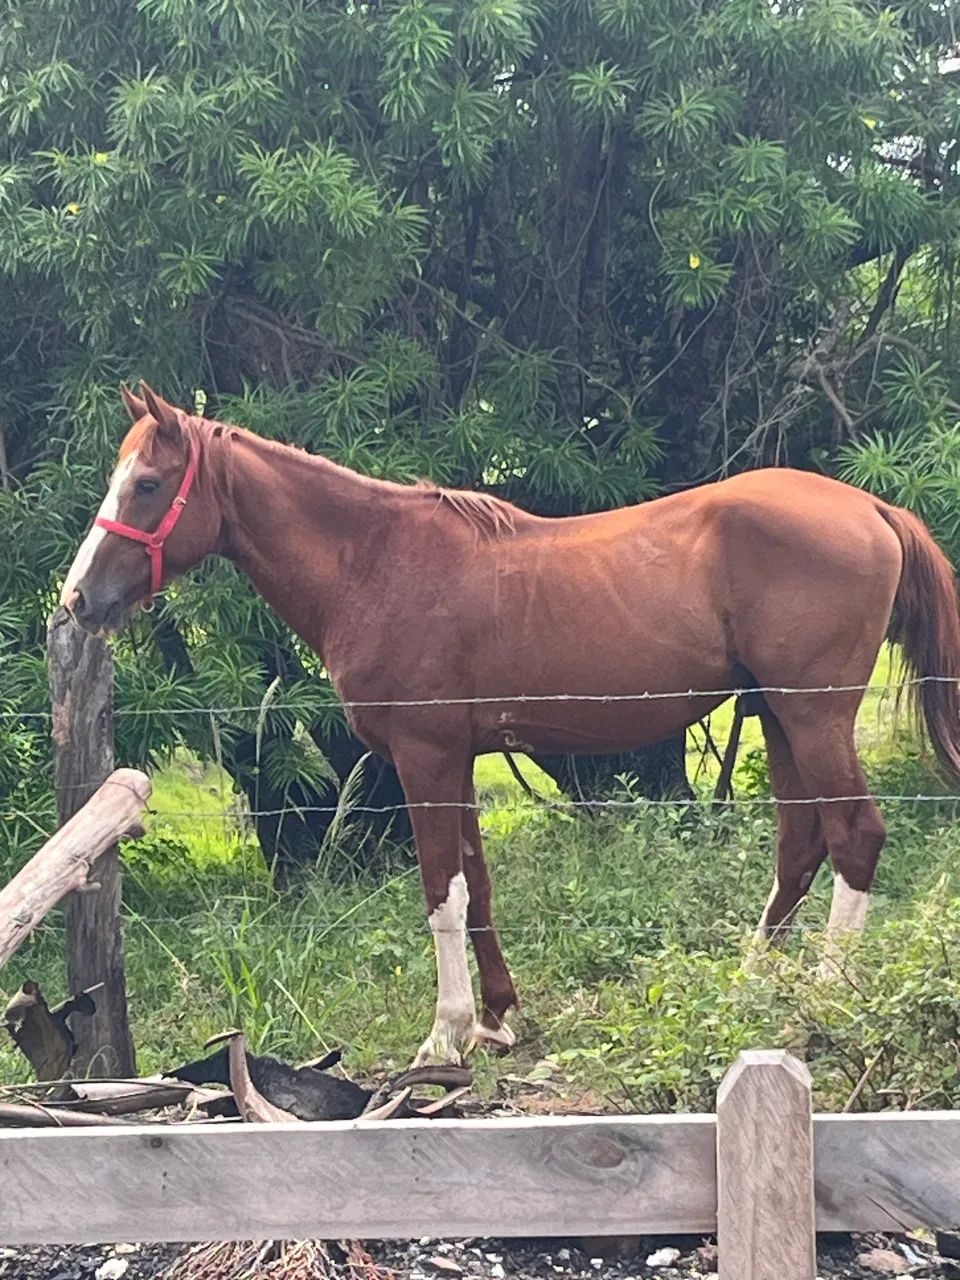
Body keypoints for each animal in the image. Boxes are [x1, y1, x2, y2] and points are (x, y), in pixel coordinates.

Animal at [60, 382, 960, 1066]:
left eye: (147, 484)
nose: (78, 598)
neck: (377, 562)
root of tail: (871, 505)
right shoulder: (457, 757)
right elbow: (477, 881)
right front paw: (496, 1018)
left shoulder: (424, 757)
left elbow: (441, 890)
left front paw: (444, 1034)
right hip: (776, 716)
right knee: (800, 845)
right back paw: (752, 982)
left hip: (814, 714)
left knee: (855, 834)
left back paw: (827, 994)